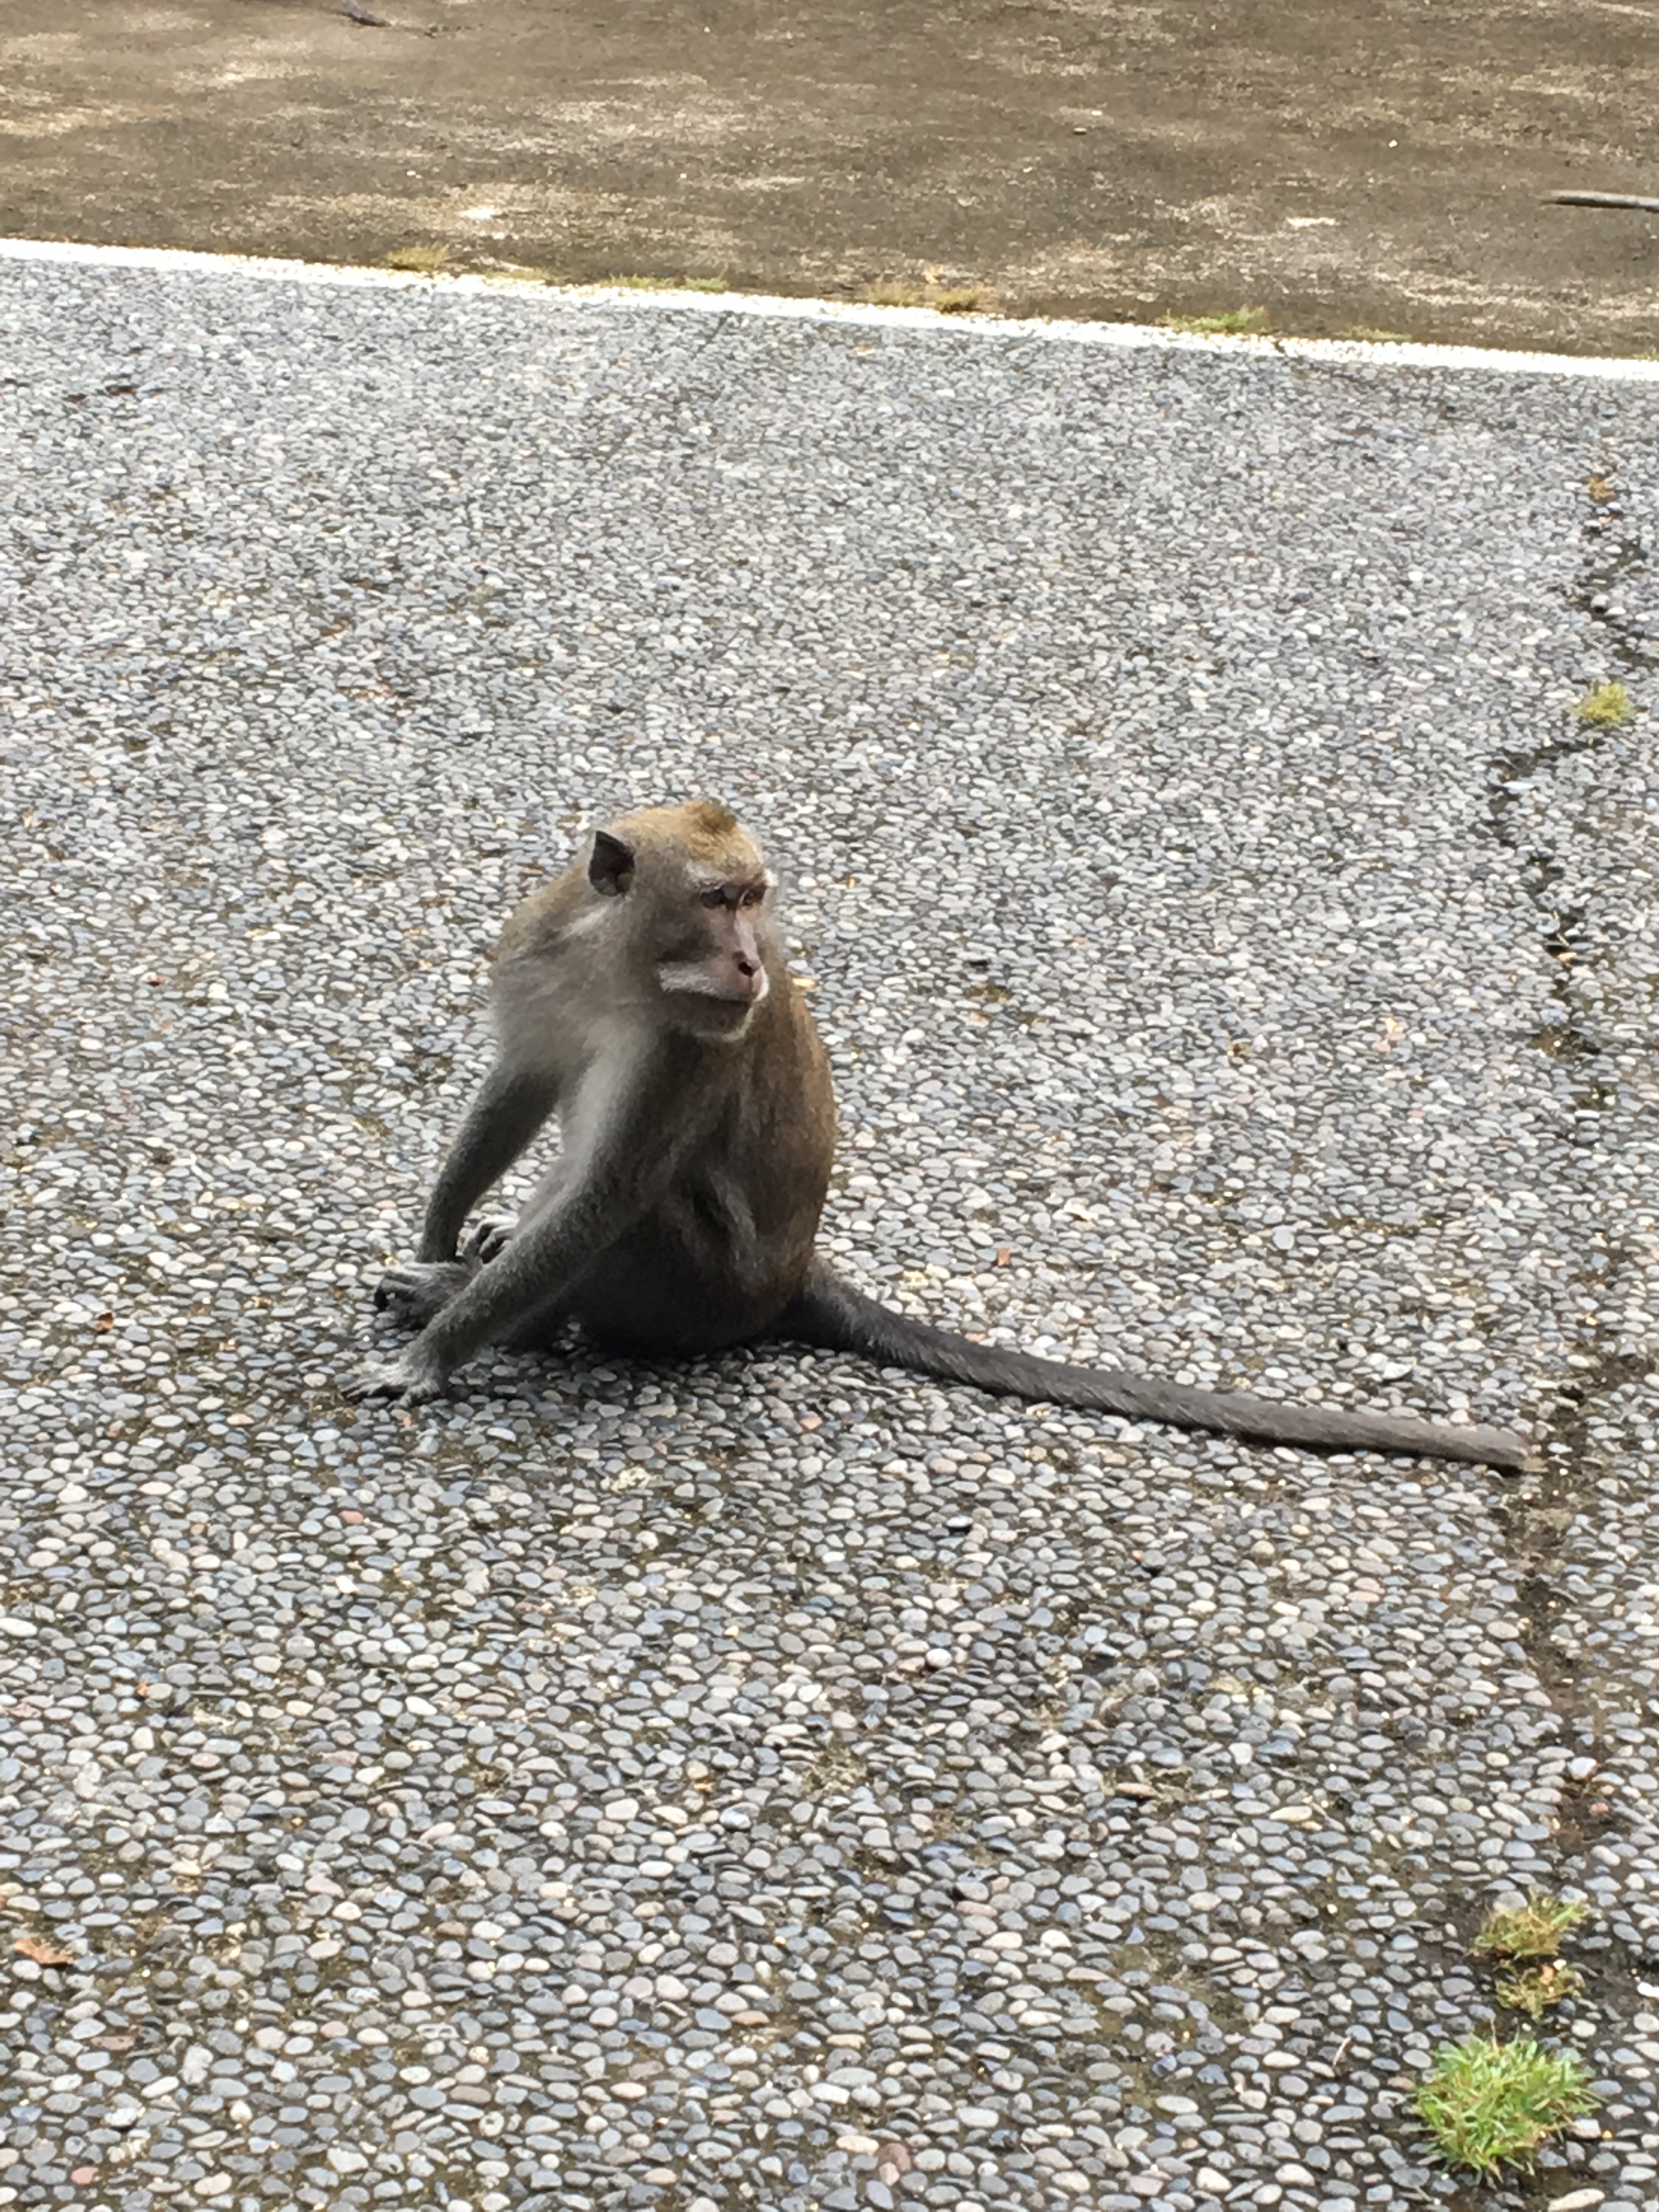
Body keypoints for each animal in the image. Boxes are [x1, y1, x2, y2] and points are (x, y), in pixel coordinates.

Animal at [344, 801, 1531, 1473]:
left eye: (754, 898)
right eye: (720, 898)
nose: (750, 961)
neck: (623, 969)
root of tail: (794, 1280)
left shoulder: (694, 1045)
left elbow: (604, 1198)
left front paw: (435, 1344)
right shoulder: (538, 952)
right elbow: (518, 1089)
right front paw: (442, 1242)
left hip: (699, 1294)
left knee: (636, 1217)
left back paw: (511, 1318)